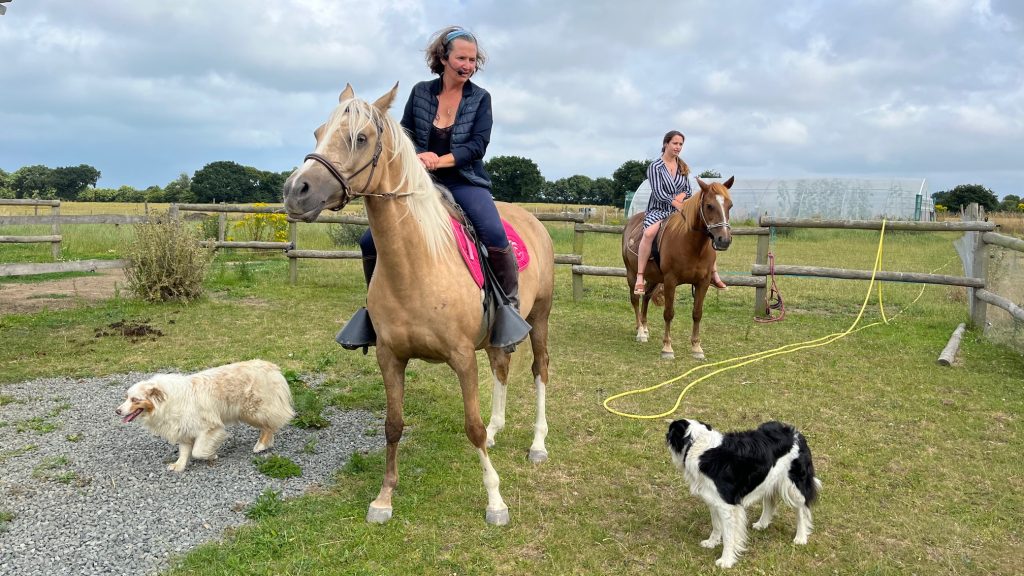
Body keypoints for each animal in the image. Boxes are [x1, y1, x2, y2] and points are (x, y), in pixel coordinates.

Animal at [282, 84, 555, 526]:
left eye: (360, 138)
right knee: (502, 367)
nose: (296, 191)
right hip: (498, 337)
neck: (418, 263)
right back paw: (499, 430)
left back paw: (537, 444)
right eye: (318, 132)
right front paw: (383, 498)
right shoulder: (390, 357)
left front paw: (495, 500)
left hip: (540, 317)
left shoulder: (462, 357)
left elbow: (472, 427)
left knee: (539, 370)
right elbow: (393, 425)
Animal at [621, 177, 734, 360]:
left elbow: (697, 313)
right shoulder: (670, 281)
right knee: (636, 299)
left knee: (646, 297)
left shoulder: (702, 283)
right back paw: (640, 332)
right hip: (632, 275)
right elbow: (668, 313)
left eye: (730, 205)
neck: (692, 245)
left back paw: (645, 328)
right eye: (709, 206)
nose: (723, 240)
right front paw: (667, 348)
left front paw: (697, 348)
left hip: (653, 278)